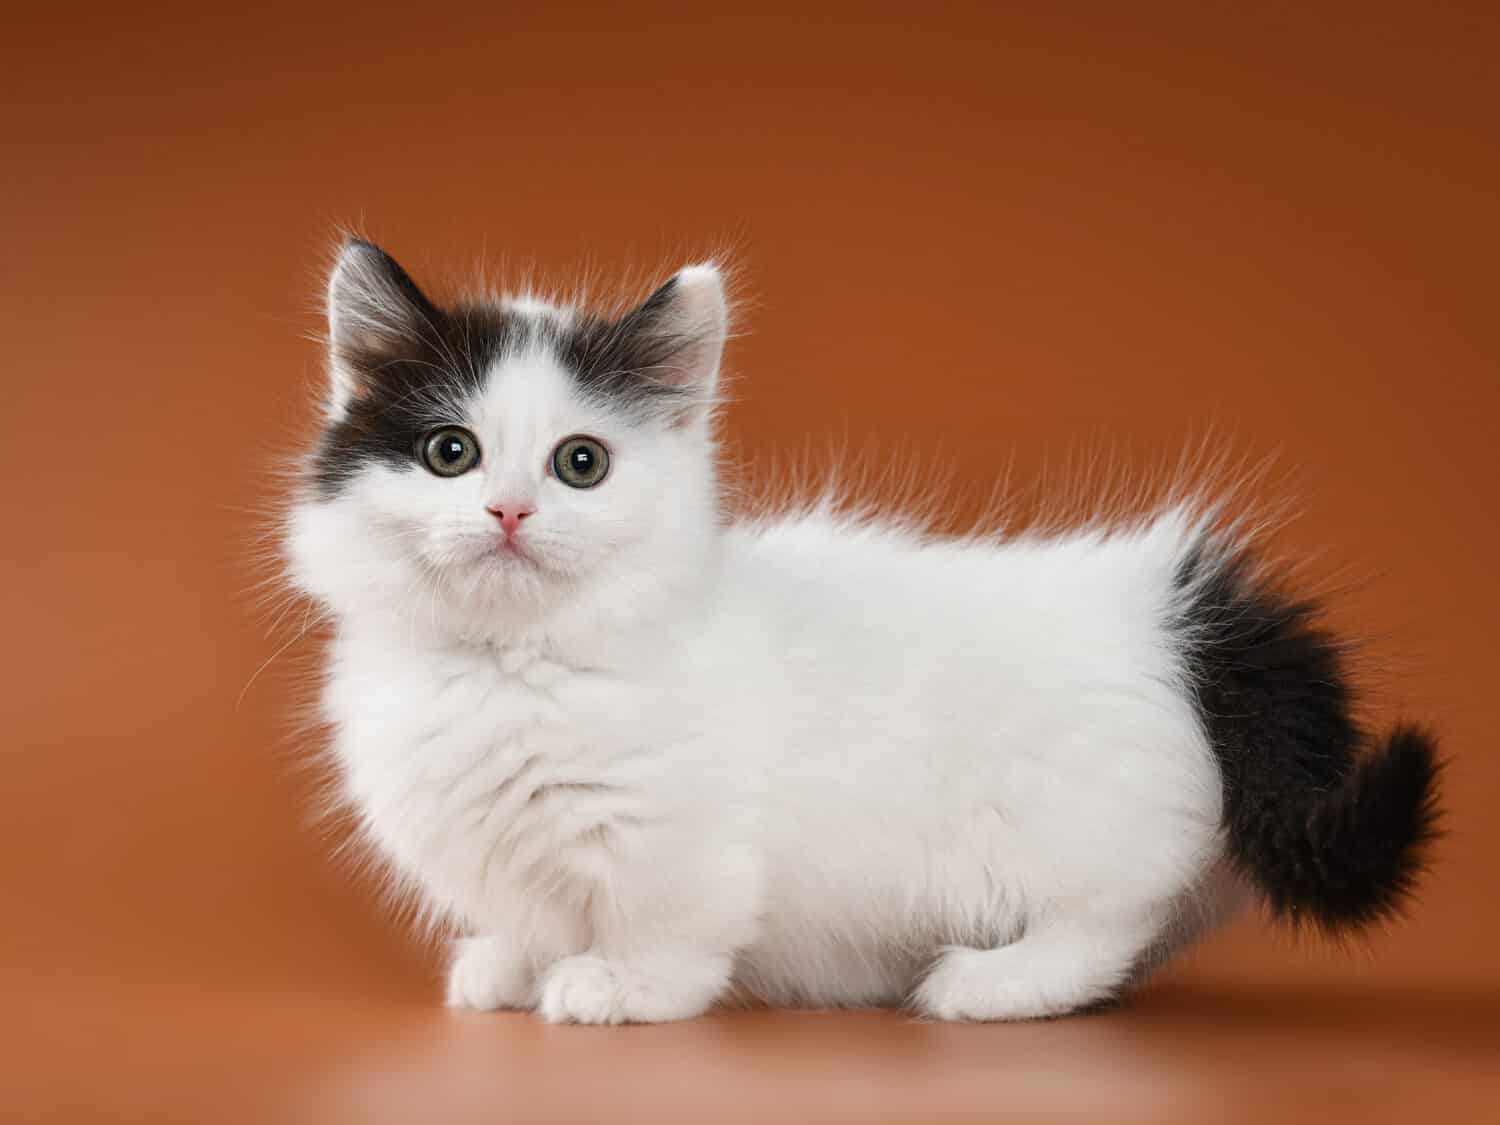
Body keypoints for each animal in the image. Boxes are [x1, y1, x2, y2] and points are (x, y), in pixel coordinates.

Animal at [283, 243, 1440, 1026]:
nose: (509, 512)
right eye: (451, 452)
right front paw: (512, 966)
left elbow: (666, 922)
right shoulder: (496, 845)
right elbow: (532, 915)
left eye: (580, 463)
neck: (511, 664)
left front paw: (618, 985)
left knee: (1120, 913)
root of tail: (1169, 609)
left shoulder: (669, 831)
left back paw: (991, 983)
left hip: (1066, 824)